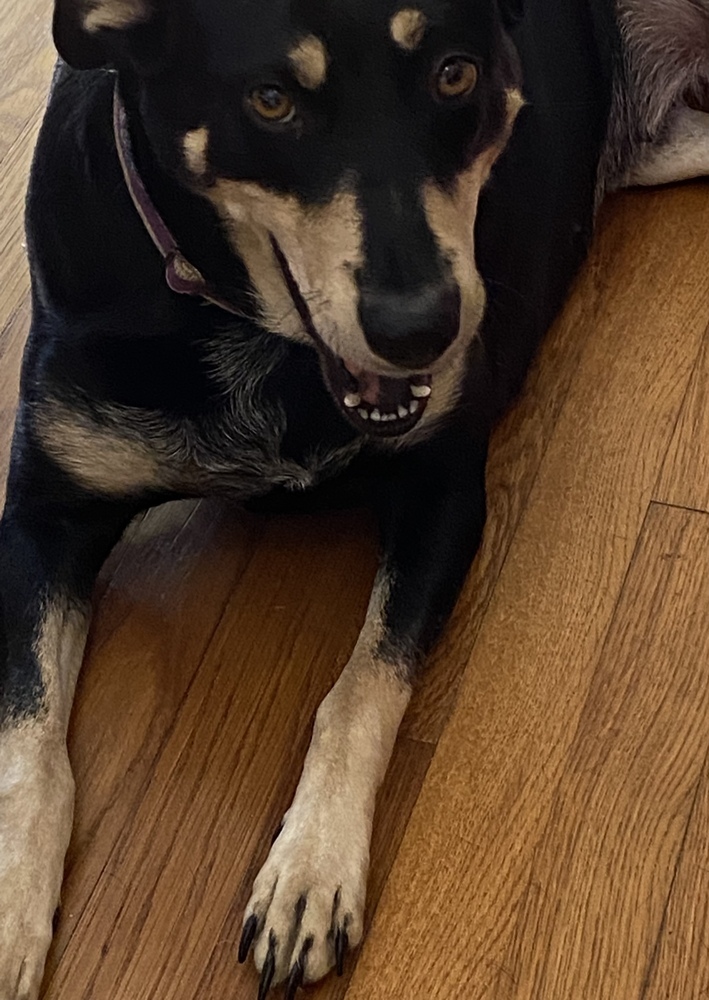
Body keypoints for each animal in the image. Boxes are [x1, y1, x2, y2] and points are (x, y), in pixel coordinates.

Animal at [1, 0, 708, 996]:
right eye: (270, 101)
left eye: (455, 74)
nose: (423, 331)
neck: (244, 331)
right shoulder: (42, 515)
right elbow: (28, 734)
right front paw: (8, 906)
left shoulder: (441, 491)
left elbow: (361, 687)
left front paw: (310, 870)